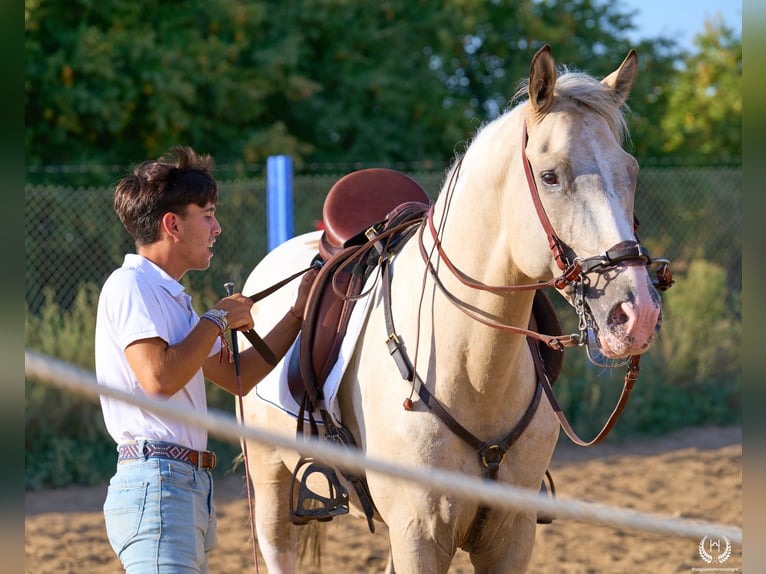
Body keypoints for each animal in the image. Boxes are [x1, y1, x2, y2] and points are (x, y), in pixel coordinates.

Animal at [238, 45, 664, 573]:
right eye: (550, 176)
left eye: (631, 172)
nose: (637, 312)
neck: (475, 370)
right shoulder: (419, 534)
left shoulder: (509, 535)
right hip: (270, 480)